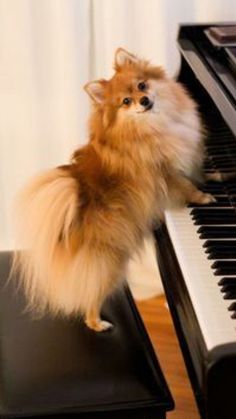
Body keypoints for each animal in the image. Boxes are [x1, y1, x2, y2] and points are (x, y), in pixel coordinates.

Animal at [11, 48, 214, 332]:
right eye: (126, 102)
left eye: (142, 85)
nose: (144, 100)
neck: (154, 125)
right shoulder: (167, 173)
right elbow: (188, 186)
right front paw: (204, 197)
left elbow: (202, 174)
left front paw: (216, 176)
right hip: (110, 260)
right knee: (90, 294)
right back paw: (97, 323)